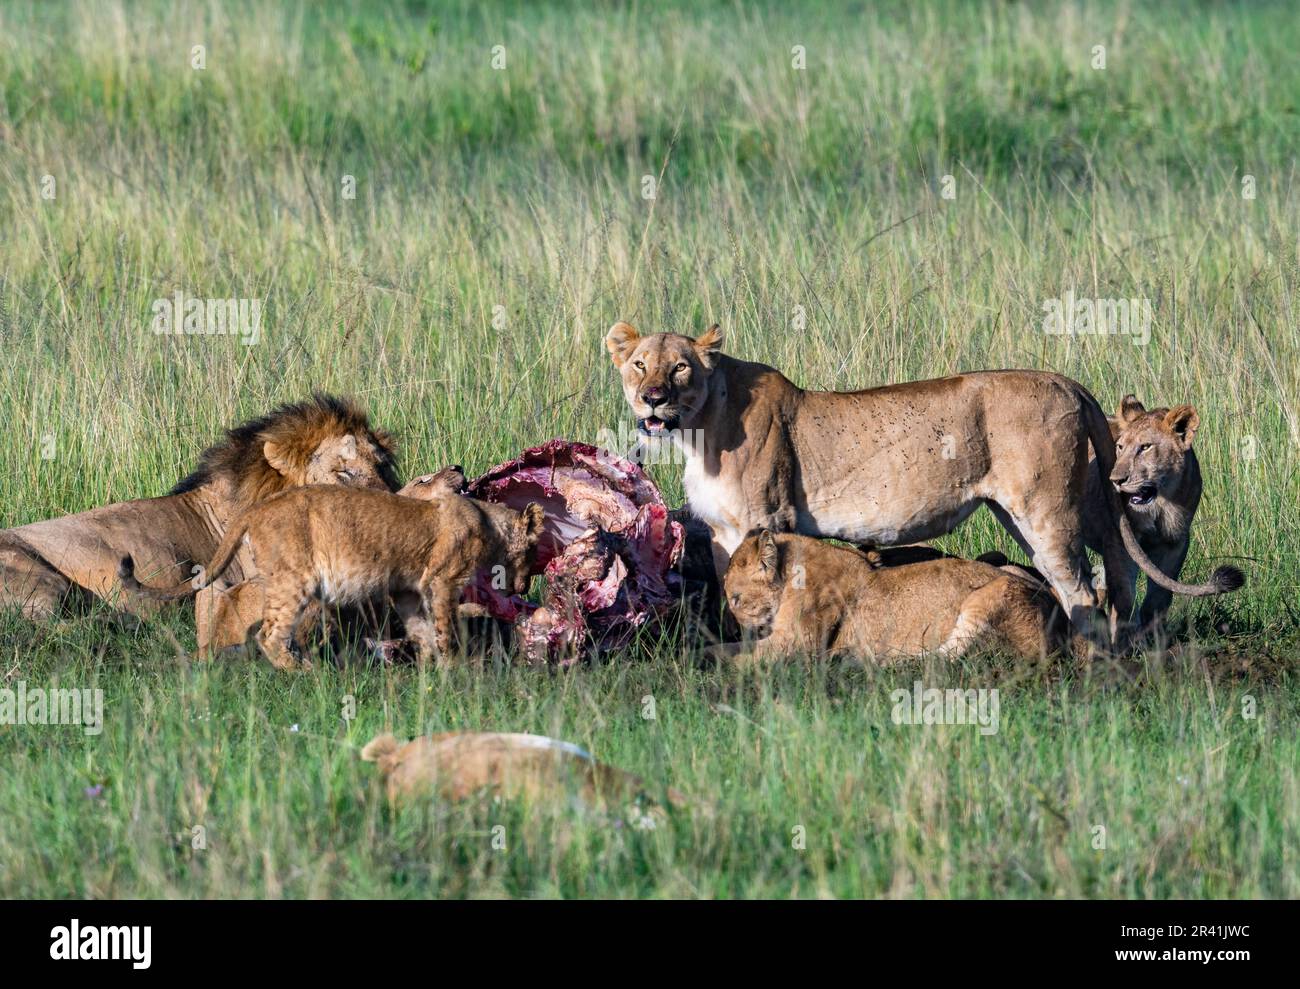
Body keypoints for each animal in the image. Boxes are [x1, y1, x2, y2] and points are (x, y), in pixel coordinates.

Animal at [122, 483, 543, 665]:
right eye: (537, 551)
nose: (524, 586)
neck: (487, 522)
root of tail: (256, 509)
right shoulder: (441, 582)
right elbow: (446, 630)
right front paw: (455, 672)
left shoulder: (407, 590)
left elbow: (422, 631)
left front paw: (430, 671)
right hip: (295, 580)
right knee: (269, 635)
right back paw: (305, 673)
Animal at [722, 527, 1066, 660]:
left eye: (736, 599)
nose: (737, 627)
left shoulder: (793, 645)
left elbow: (732, 655)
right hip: (1006, 566)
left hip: (992, 593)